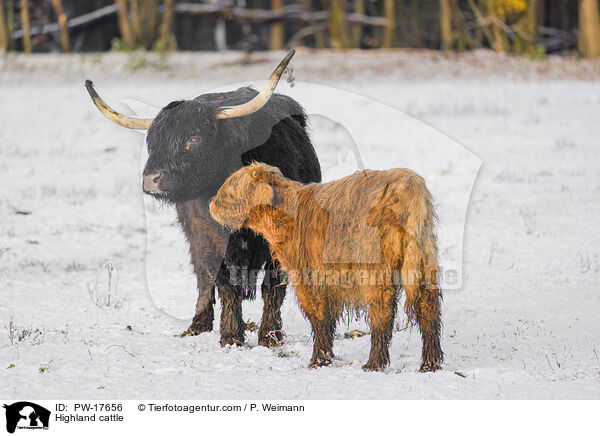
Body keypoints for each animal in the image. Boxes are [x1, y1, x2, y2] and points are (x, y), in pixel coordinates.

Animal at [210, 162, 440, 372]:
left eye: (231, 188)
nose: (211, 204)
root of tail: (409, 185)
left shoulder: (311, 279)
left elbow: (319, 319)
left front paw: (318, 361)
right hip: (424, 261)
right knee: (428, 308)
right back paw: (430, 363)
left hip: (375, 270)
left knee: (383, 314)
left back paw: (374, 364)